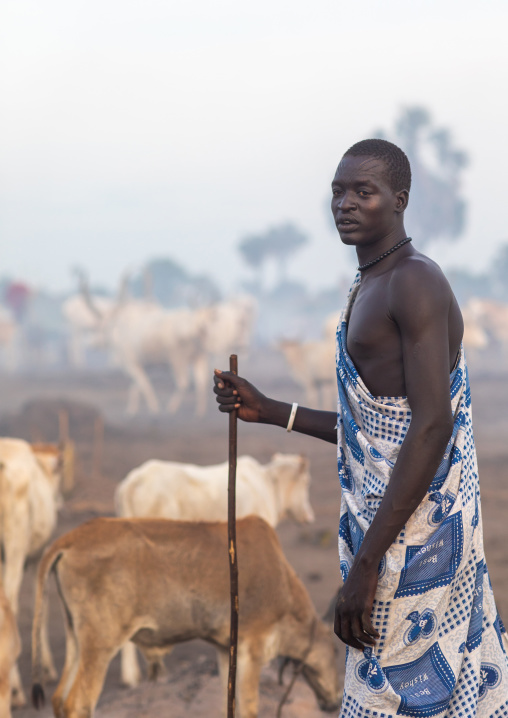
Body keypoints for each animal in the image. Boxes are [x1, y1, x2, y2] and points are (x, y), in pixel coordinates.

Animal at [31, 516, 340, 718]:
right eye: (339, 652)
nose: (334, 702)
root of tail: (68, 540)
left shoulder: (226, 650)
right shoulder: (252, 647)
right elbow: (249, 707)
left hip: (77, 639)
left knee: (59, 699)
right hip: (101, 644)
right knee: (78, 703)